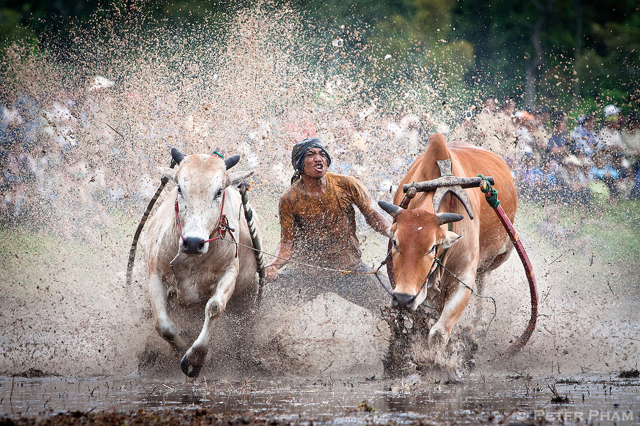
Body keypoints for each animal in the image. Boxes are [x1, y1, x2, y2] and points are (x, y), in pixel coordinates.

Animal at [146, 148, 262, 378]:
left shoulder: (229, 273)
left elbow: (214, 307)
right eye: (180, 188)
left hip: (249, 294)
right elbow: (163, 325)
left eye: (219, 191)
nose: (192, 242)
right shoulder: (155, 275)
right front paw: (181, 346)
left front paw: (195, 358)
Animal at [378, 133, 516, 350]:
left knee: (483, 279)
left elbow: (438, 334)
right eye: (395, 243)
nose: (402, 299)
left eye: (432, 247)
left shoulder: (464, 278)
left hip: (500, 256)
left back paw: (476, 327)